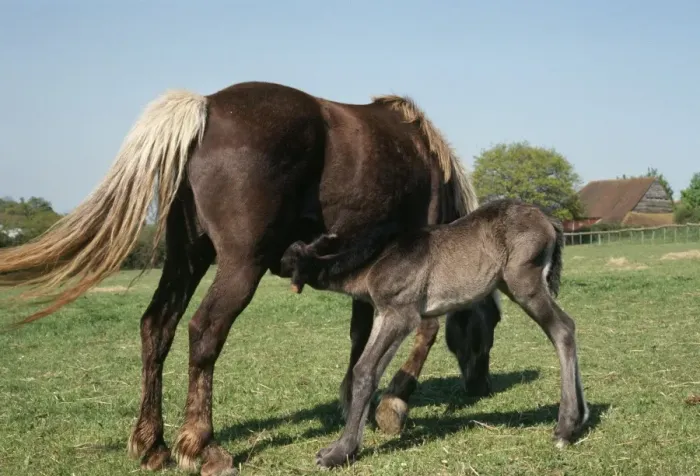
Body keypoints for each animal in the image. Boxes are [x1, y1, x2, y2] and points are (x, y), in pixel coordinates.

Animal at [0, 81, 502, 475]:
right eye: (492, 324)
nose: (482, 387)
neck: (427, 162)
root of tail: (205, 107)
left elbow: (360, 336)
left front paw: (352, 398)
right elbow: (425, 330)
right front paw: (393, 406)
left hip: (187, 257)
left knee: (157, 327)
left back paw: (152, 444)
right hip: (240, 265)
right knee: (204, 332)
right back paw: (201, 446)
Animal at [281, 198, 589, 468]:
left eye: (290, 257)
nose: (279, 264)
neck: (377, 258)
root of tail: (548, 219)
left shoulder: (402, 314)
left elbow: (365, 371)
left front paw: (339, 453)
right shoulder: (383, 314)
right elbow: (366, 370)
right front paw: (343, 446)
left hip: (524, 282)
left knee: (562, 329)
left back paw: (564, 428)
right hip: (510, 284)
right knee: (567, 327)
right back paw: (580, 419)